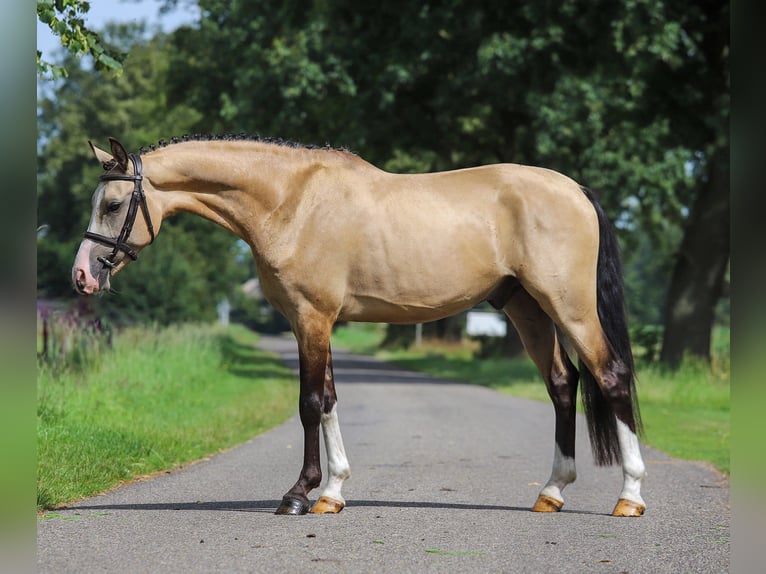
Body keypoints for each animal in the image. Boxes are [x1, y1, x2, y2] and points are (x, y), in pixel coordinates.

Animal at [72, 135, 648, 516]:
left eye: (114, 204)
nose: (82, 275)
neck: (290, 201)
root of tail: (575, 189)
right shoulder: (316, 321)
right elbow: (328, 401)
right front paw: (332, 493)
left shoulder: (312, 318)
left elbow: (309, 403)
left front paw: (297, 495)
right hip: (528, 310)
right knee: (563, 385)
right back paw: (552, 492)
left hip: (570, 307)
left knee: (610, 377)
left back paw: (630, 497)